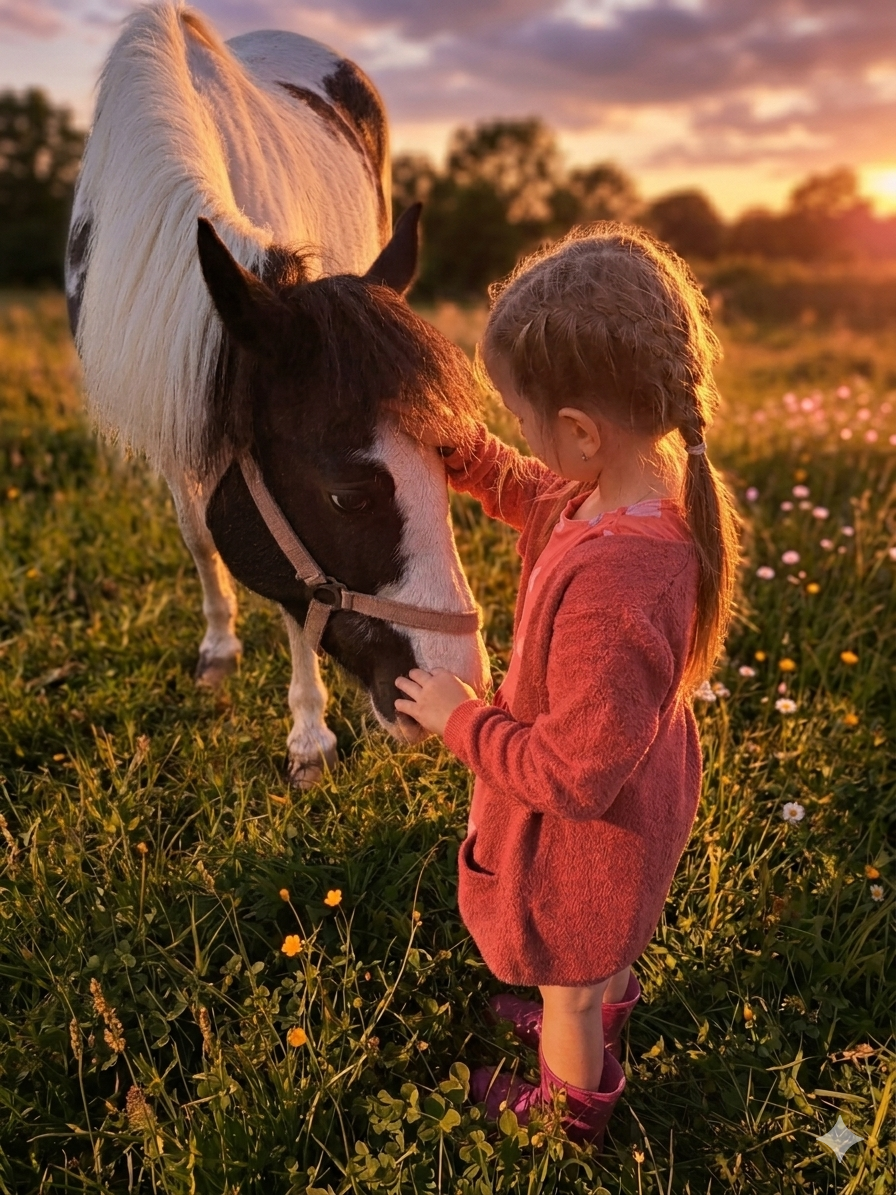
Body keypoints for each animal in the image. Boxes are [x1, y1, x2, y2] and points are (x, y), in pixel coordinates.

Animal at [65, 1, 489, 786]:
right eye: (348, 497)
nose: (459, 683)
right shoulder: (178, 415)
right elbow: (203, 535)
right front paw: (220, 651)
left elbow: (293, 602)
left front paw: (308, 737)